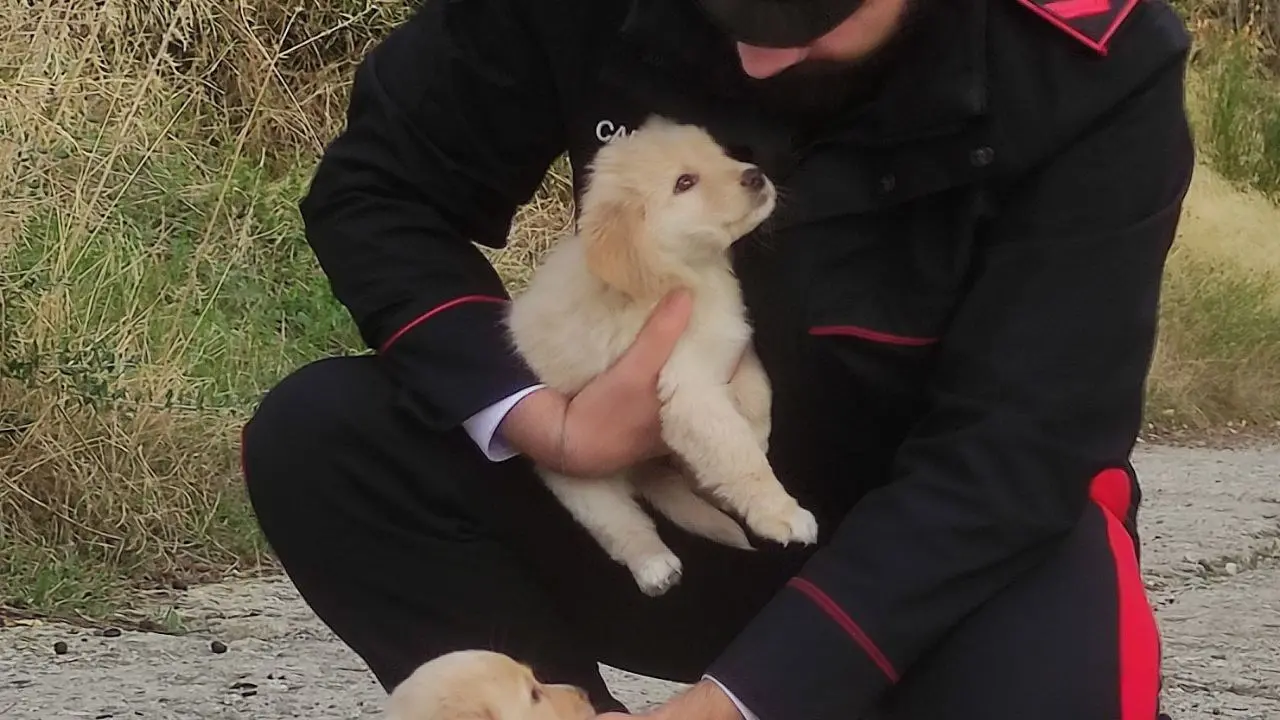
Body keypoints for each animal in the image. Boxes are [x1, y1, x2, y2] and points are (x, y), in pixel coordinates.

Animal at [501, 116, 814, 594]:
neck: (689, 275)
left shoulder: (733, 346)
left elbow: (757, 395)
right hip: (577, 478)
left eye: (719, 154)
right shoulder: (689, 393)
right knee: (620, 524)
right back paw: (654, 564)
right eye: (684, 183)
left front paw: (758, 433)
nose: (756, 175)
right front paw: (782, 513)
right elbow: (736, 456)